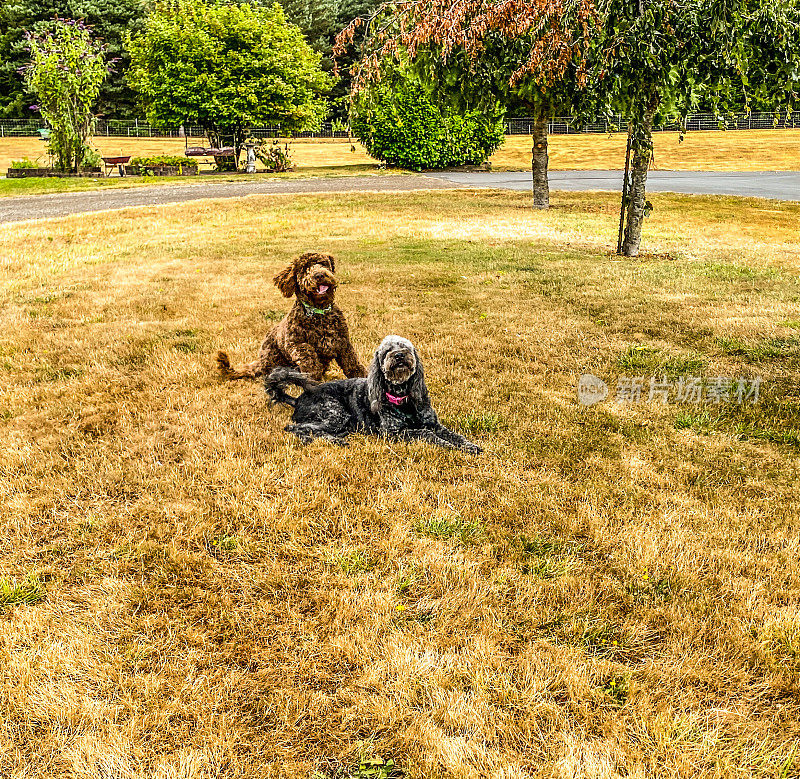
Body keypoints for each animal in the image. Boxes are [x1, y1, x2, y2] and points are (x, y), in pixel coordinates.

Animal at [216, 251, 366, 382]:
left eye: (323, 264)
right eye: (304, 269)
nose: (319, 275)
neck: (319, 312)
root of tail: (260, 363)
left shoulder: (343, 343)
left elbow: (352, 363)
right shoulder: (294, 344)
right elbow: (308, 353)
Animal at [266, 332, 484, 454]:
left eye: (405, 347)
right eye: (387, 350)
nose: (399, 355)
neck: (403, 398)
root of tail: (298, 399)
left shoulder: (434, 423)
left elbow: (454, 435)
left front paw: (469, 445)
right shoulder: (394, 433)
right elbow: (426, 434)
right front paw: (450, 446)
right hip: (334, 412)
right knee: (296, 428)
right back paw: (332, 440)